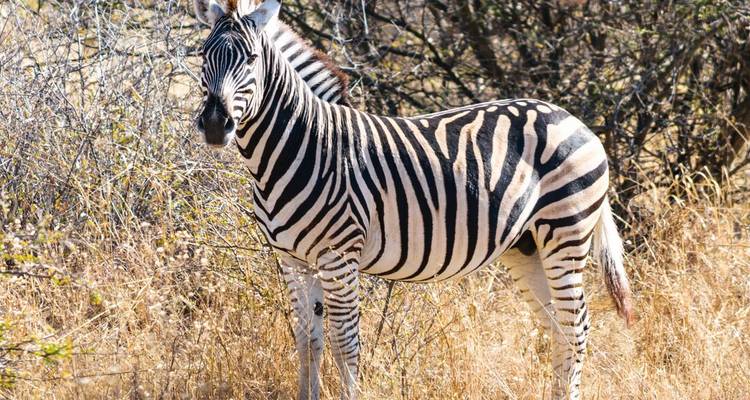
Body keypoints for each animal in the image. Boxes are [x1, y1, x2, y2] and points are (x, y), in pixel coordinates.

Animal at [192, 1, 635, 399]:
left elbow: (344, 344)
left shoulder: (338, 256)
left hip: (566, 232)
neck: (304, 145)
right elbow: (307, 343)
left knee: (576, 327)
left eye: (251, 58)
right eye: (203, 55)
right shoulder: (292, 261)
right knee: (558, 328)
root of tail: (571, 117)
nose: (215, 125)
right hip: (527, 247)